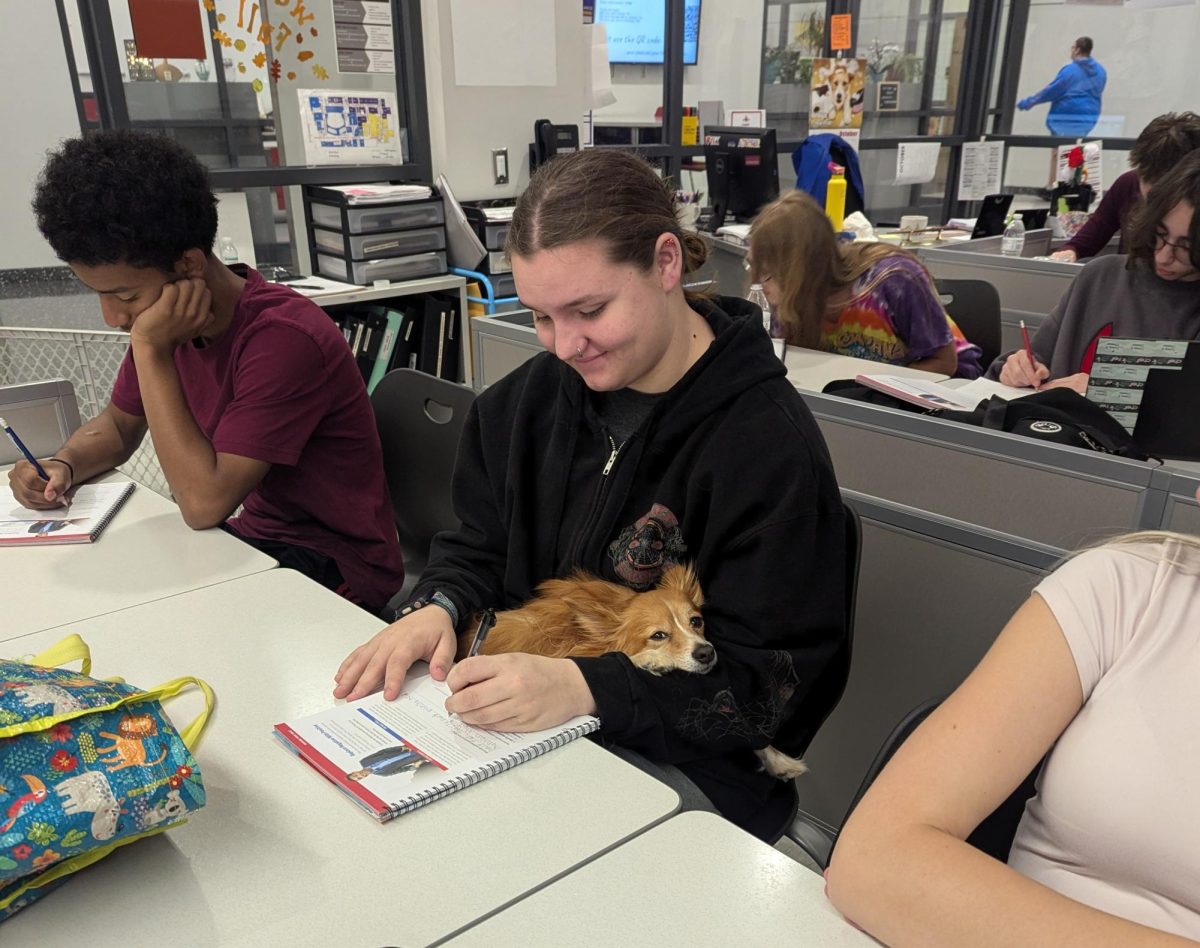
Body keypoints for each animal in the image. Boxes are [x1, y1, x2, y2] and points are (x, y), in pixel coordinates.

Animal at [456, 564, 806, 777]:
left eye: (696, 621)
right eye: (659, 635)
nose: (706, 652)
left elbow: (744, 723)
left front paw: (779, 760)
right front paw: (652, 661)